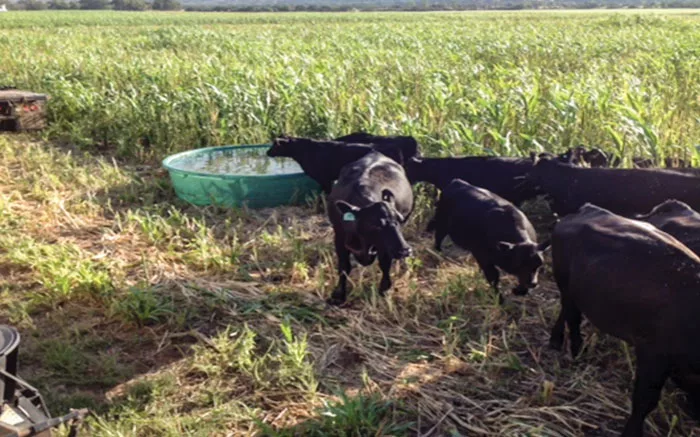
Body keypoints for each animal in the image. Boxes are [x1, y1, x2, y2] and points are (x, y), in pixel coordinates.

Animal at [326, 151, 413, 306]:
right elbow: (344, 267)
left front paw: (384, 289)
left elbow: (385, 263)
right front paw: (338, 294)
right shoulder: (339, 237)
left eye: (399, 220)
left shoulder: (385, 246)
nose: (405, 250)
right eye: (375, 224)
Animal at [550, 203, 700, 437]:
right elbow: (645, 400)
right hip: (566, 286)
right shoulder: (653, 353)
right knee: (572, 318)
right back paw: (574, 349)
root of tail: (586, 209)